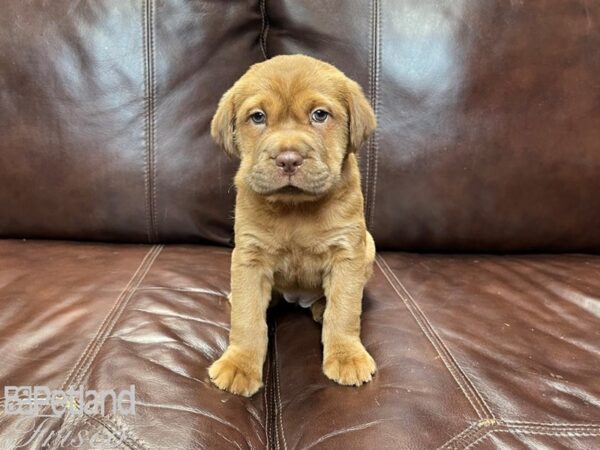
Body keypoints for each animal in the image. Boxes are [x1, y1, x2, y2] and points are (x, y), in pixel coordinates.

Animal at [206, 54, 376, 396]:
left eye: (320, 115)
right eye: (258, 117)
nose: (287, 159)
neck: (295, 209)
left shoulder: (348, 253)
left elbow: (345, 310)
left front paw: (346, 356)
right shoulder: (249, 257)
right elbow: (247, 318)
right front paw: (239, 364)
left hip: (369, 247)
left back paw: (321, 307)